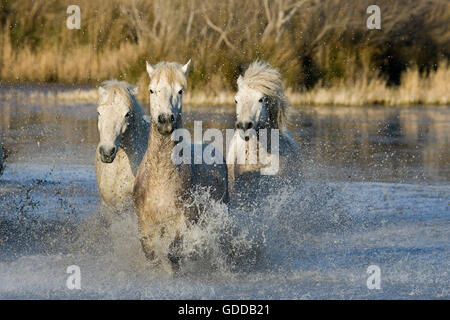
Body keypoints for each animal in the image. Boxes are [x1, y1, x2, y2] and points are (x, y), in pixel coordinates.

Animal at [132, 60, 227, 270]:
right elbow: (150, 254)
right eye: (151, 90)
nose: (165, 119)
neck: (160, 178)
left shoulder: (182, 222)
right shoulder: (145, 224)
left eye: (180, 91)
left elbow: (173, 252)